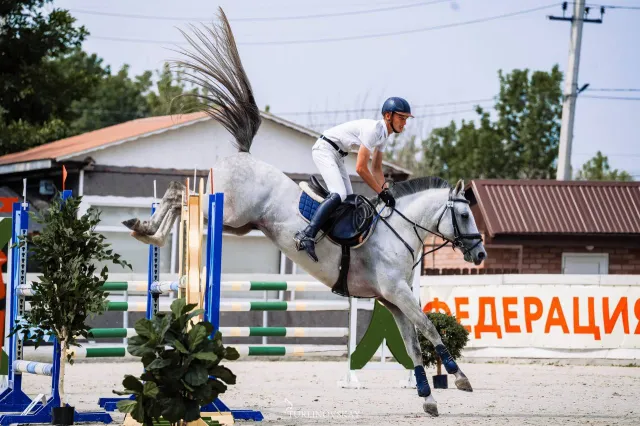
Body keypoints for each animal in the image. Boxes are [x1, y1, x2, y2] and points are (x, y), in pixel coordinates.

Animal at [122, 7, 487, 417]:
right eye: (465, 216)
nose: (480, 254)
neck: (401, 233)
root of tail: (244, 155)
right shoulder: (396, 292)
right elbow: (429, 328)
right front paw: (458, 376)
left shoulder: (391, 299)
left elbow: (413, 342)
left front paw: (427, 395)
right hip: (225, 210)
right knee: (176, 194)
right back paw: (147, 228)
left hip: (238, 224)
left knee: (177, 198)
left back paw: (146, 230)